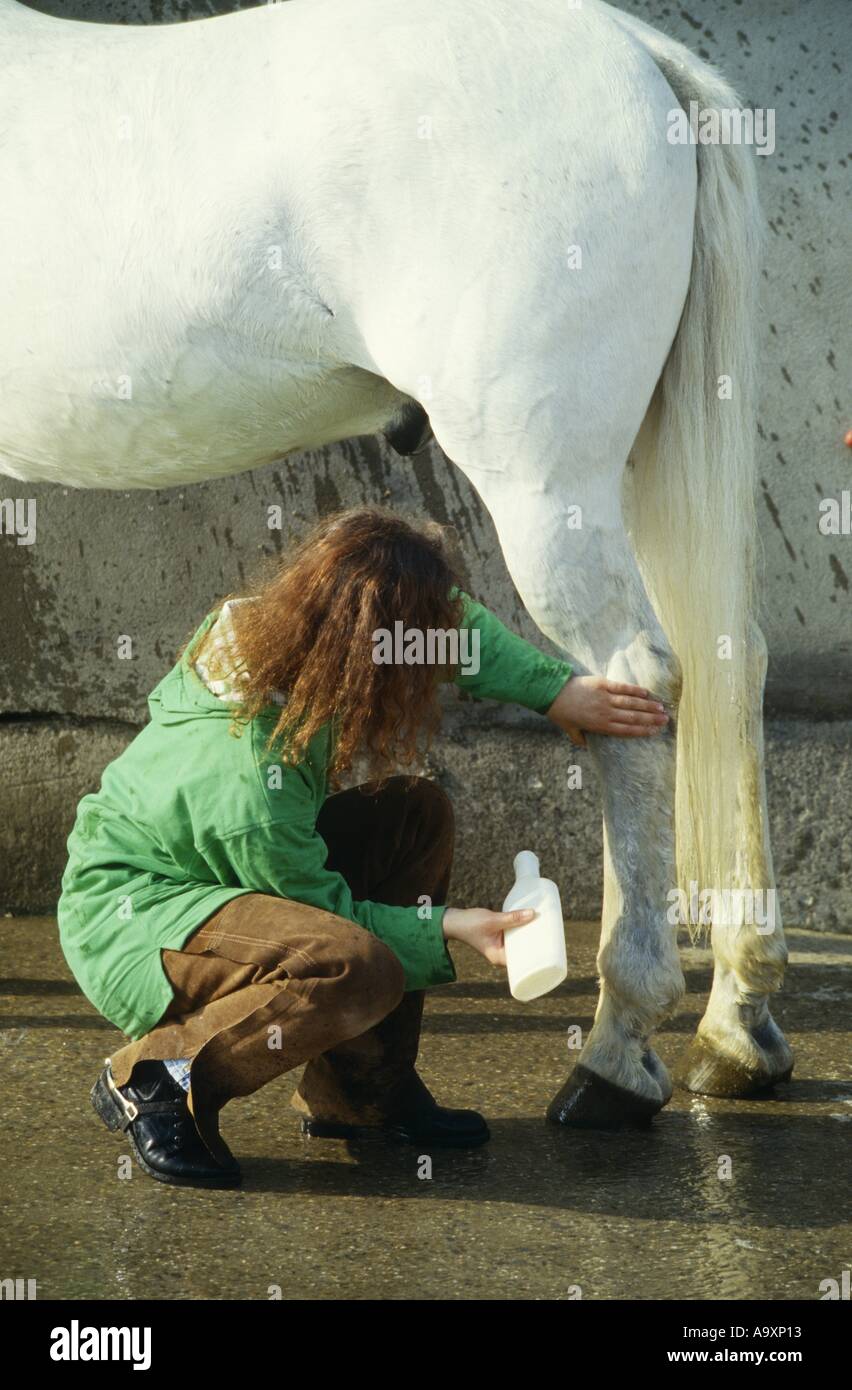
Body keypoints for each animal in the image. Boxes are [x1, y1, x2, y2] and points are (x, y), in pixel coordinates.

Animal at [0, 0, 789, 1123]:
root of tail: (638, 52)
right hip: (634, 463)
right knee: (728, 662)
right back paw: (739, 1027)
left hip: (544, 481)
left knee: (634, 685)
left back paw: (615, 1050)